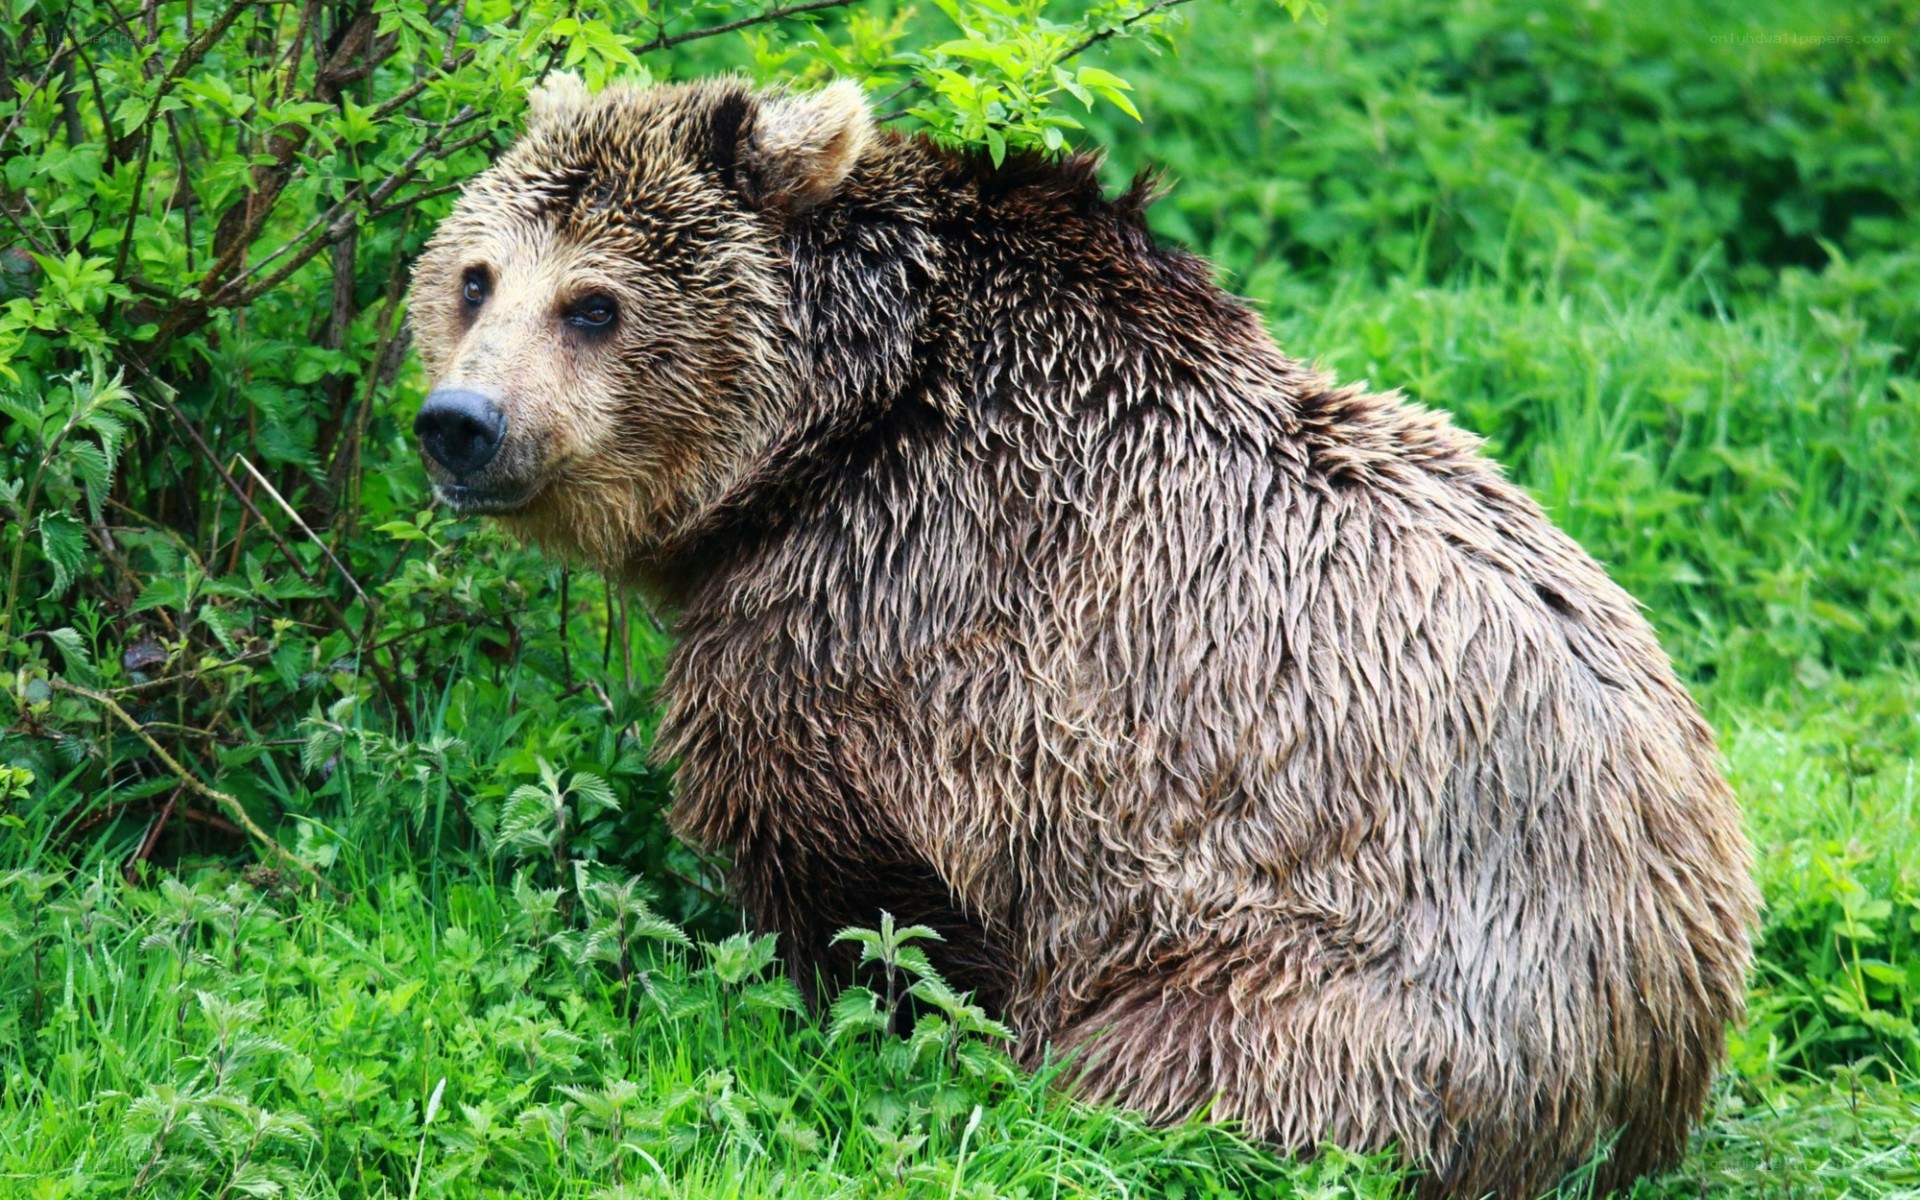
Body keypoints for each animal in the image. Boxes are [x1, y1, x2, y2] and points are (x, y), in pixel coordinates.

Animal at [407, 76, 1758, 1198]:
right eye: (475, 277)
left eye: (594, 304)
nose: (460, 422)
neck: (832, 428)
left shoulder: (894, 611)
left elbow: (859, 887)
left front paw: (852, 1026)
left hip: (1342, 984)